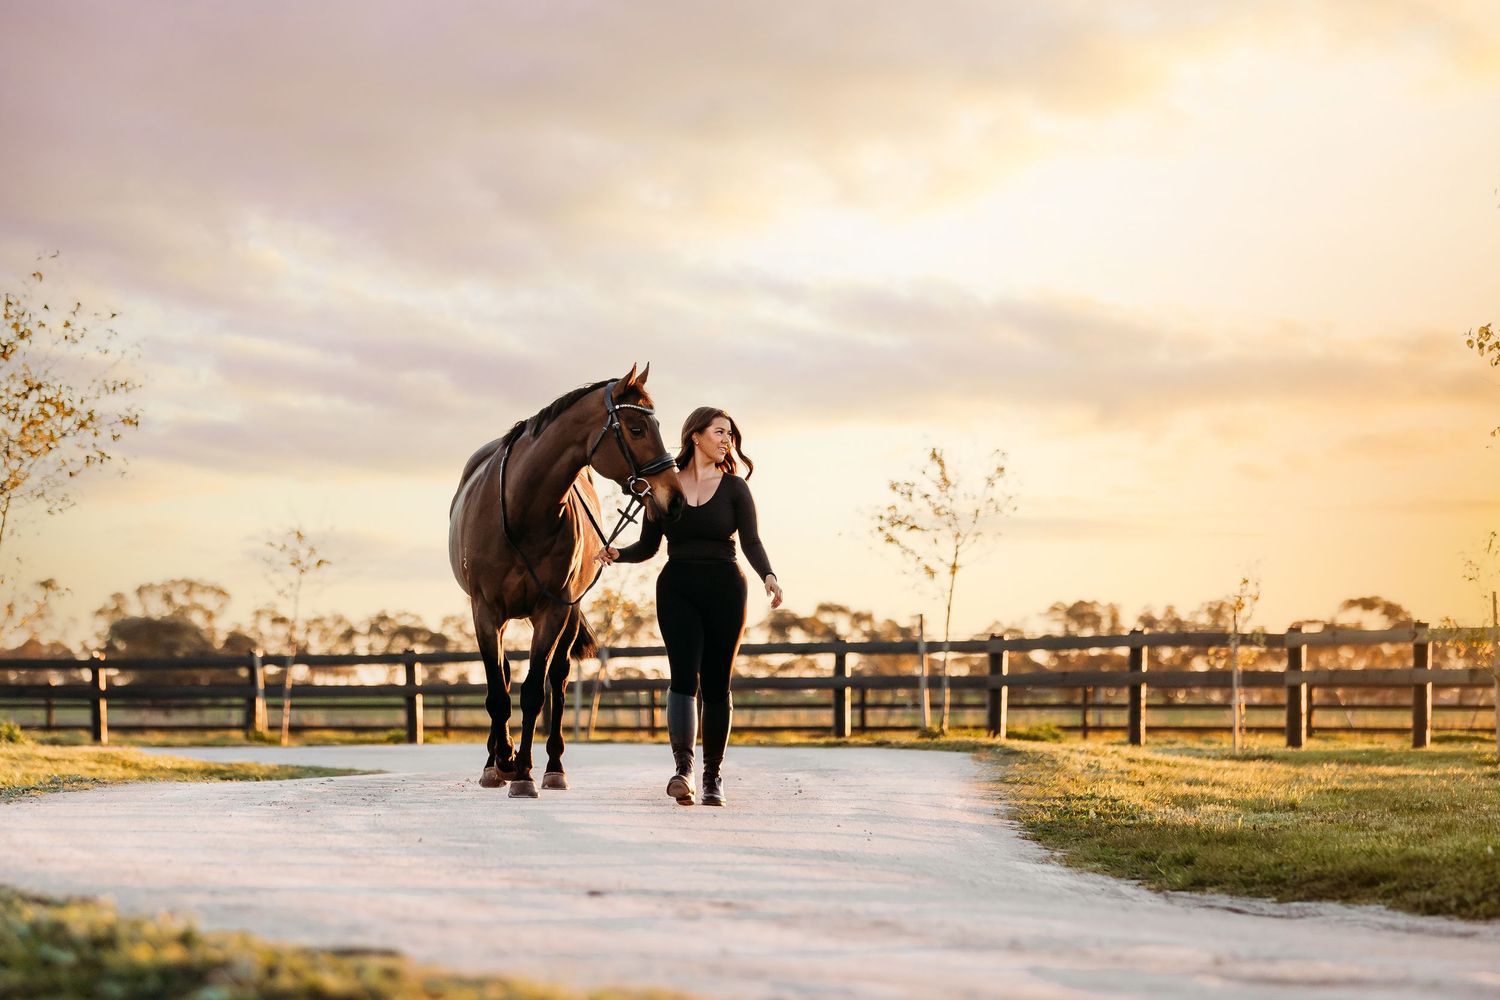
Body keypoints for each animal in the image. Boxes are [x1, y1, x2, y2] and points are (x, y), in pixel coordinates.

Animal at [448, 364, 685, 797]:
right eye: (637, 428)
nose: (674, 499)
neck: (524, 510)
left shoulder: (553, 610)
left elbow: (534, 693)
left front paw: (524, 773)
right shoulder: (485, 610)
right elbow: (497, 692)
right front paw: (500, 762)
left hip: (569, 613)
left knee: (557, 679)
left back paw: (554, 768)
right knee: (503, 677)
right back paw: (495, 760)